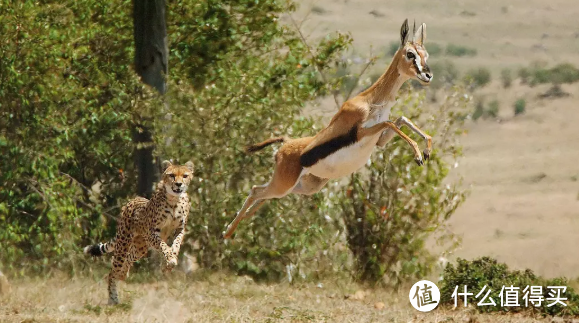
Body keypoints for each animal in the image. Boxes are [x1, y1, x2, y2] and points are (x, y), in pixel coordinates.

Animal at [84, 161, 194, 306]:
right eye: (172, 175)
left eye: (185, 176)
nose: (179, 184)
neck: (174, 200)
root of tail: (132, 200)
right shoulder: (152, 232)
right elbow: (164, 246)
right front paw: (170, 258)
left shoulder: (179, 229)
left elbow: (176, 243)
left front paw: (172, 258)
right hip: (123, 244)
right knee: (112, 271)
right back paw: (113, 299)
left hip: (140, 247)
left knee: (128, 259)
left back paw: (123, 274)